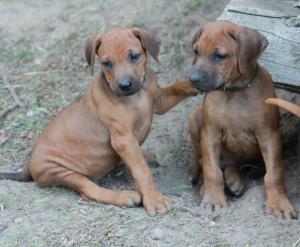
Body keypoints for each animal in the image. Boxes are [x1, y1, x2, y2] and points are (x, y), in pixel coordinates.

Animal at [0, 27, 199, 216]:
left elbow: (177, 87)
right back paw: (124, 196)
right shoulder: (123, 139)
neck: (137, 96)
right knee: (89, 191)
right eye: (106, 63)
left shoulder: (159, 101)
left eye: (134, 56)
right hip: (59, 170)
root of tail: (29, 164)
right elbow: (142, 171)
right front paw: (154, 199)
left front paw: (195, 82)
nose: (125, 85)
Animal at [189, 20, 296, 219]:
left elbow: (274, 174)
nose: (193, 79)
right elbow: (211, 170)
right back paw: (209, 187)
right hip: (194, 118)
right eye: (196, 52)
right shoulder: (210, 133)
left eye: (219, 56)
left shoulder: (269, 136)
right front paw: (213, 198)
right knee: (204, 162)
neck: (234, 91)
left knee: (239, 165)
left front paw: (279, 203)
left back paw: (234, 180)